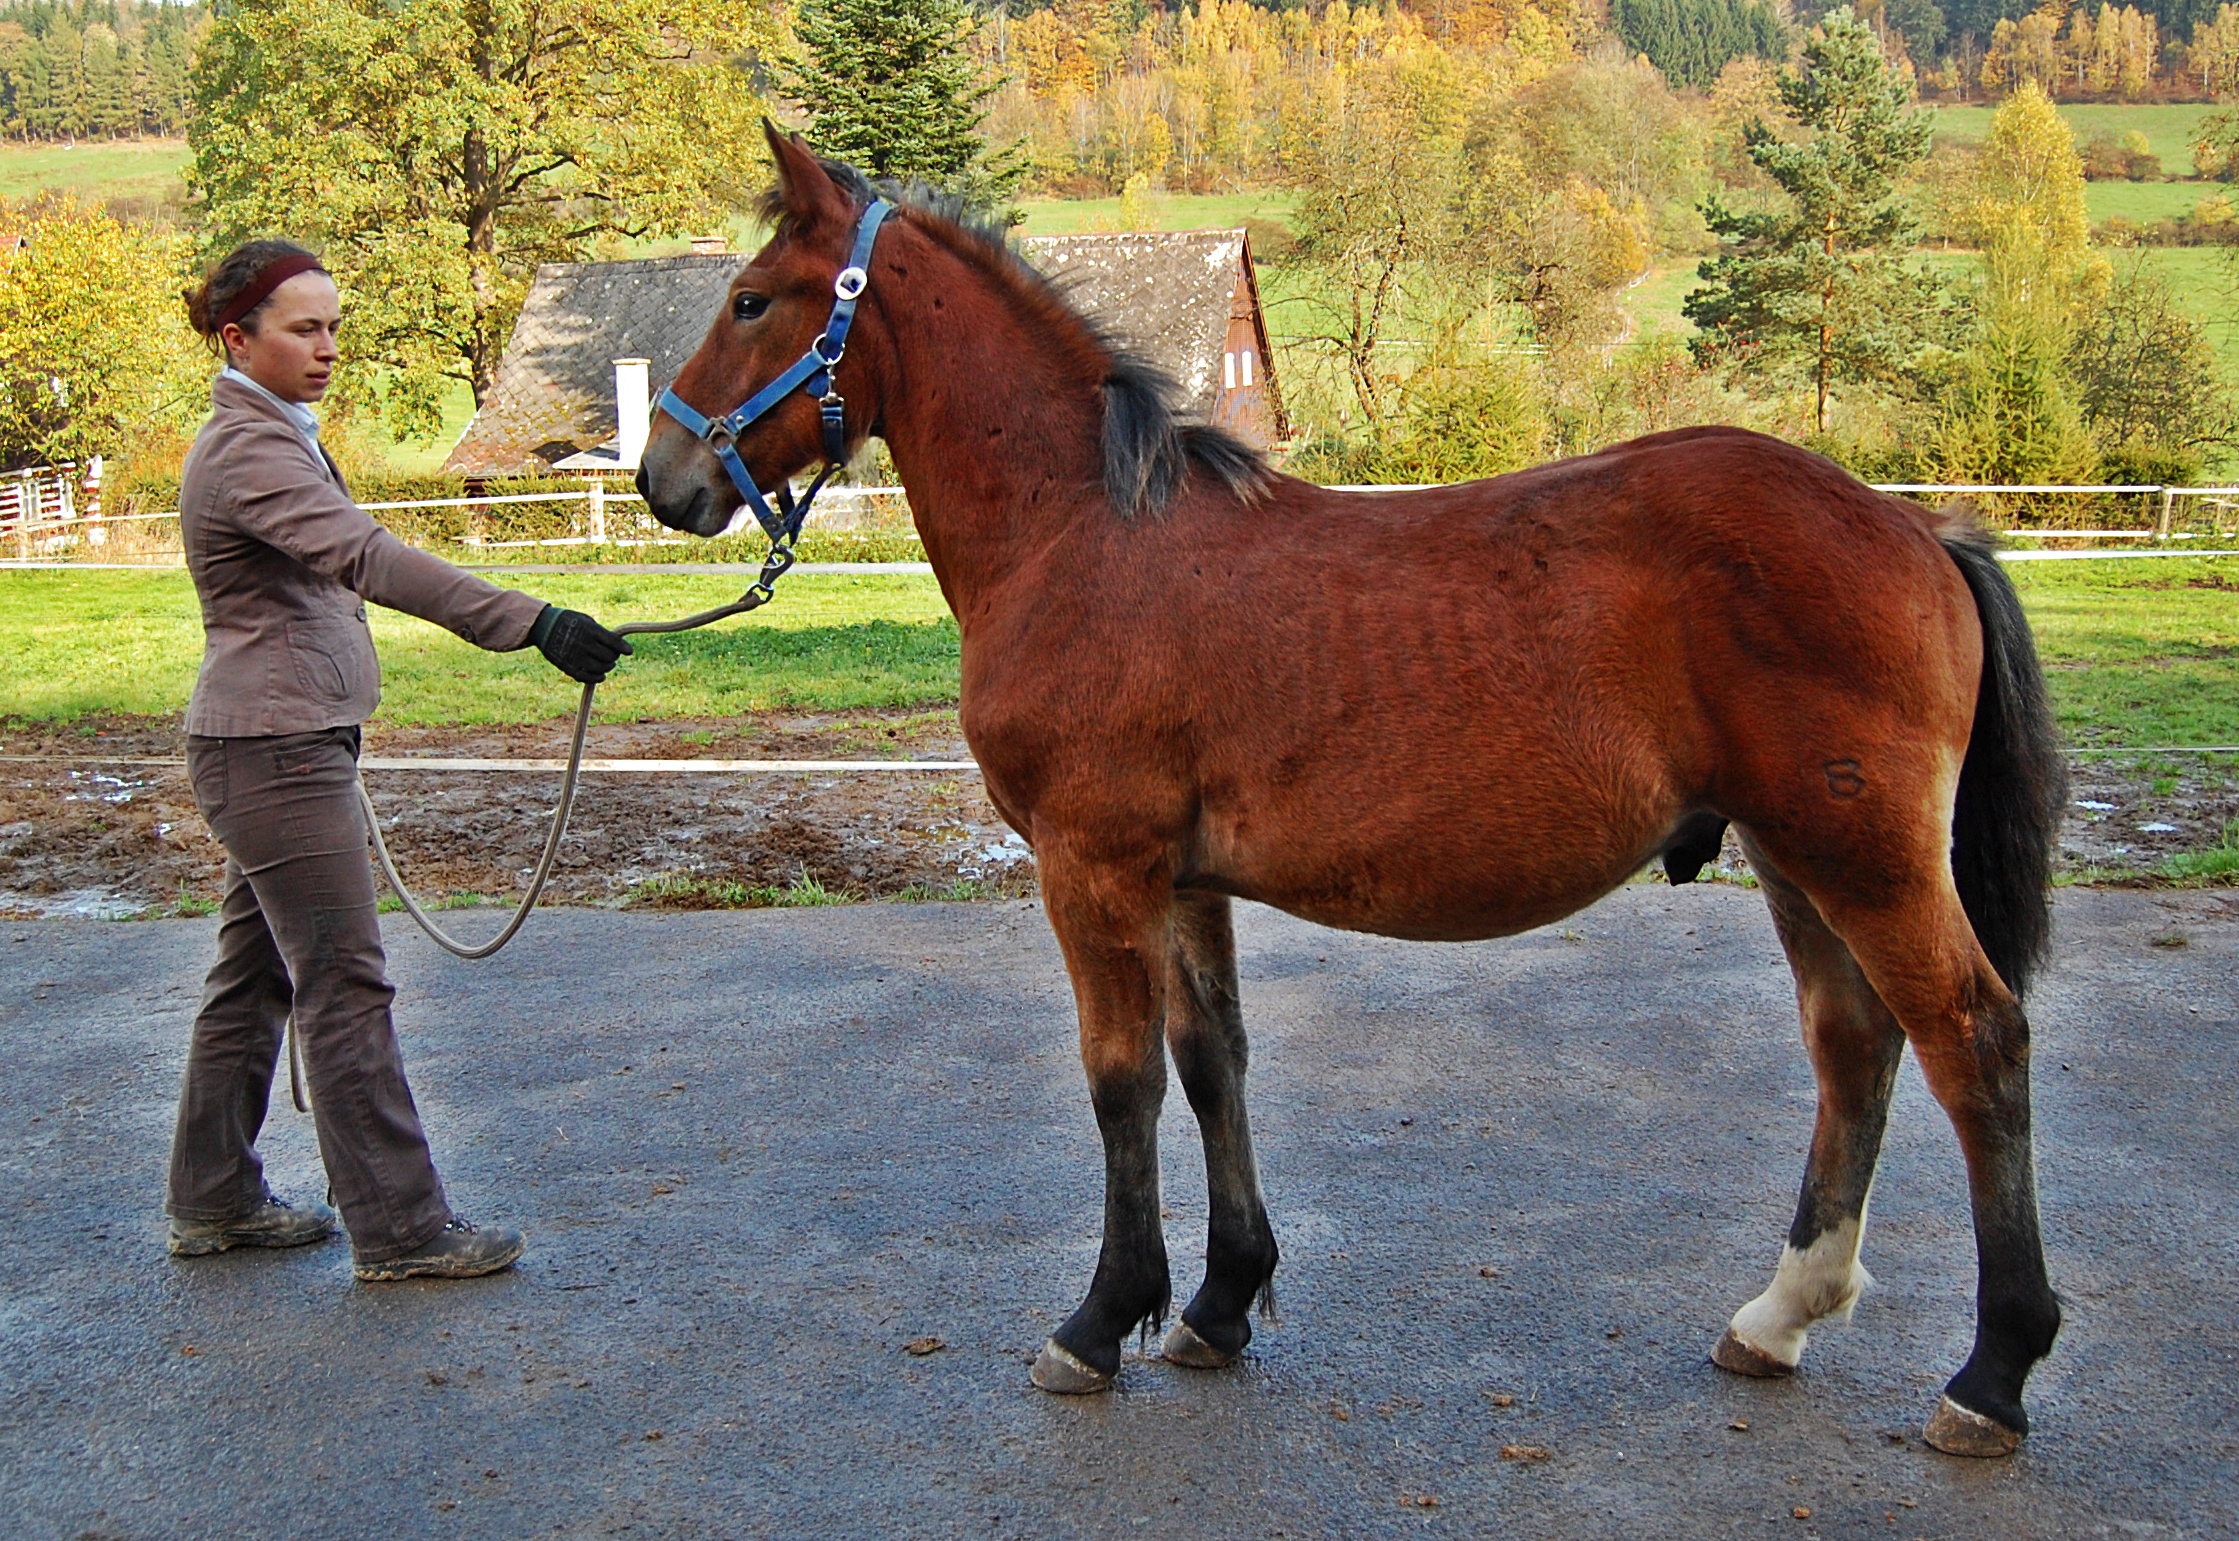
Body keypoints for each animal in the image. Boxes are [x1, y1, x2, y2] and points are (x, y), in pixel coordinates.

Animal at [640, 129, 2068, 1460]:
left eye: (753, 299)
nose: (665, 477)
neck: (1084, 534)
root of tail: (1918, 528)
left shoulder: (1091, 862)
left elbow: (1120, 1080)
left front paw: (1100, 1319)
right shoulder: (1182, 878)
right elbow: (1210, 1062)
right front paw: (1219, 1301)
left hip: (1862, 852)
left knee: (1972, 1040)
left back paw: (1990, 1373)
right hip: (1793, 853)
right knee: (1855, 1043)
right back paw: (1779, 1314)